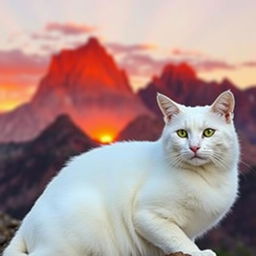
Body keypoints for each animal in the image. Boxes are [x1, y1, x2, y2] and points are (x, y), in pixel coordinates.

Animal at [3, 90, 240, 256]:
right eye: (182, 133)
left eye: (208, 132)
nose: (194, 147)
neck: (207, 178)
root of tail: (25, 224)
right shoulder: (147, 215)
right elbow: (177, 238)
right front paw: (198, 252)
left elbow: (180, 239)